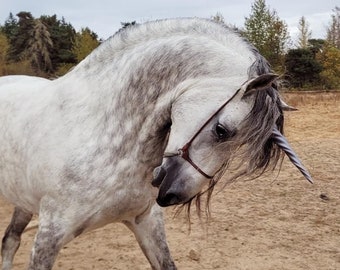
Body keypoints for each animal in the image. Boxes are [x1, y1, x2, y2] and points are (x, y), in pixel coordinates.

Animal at [0, 17, 312, 268]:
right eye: (222, 130)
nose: (173, 194)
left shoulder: (146, 221)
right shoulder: (50, 235)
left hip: (24, 201)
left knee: (10, 240)